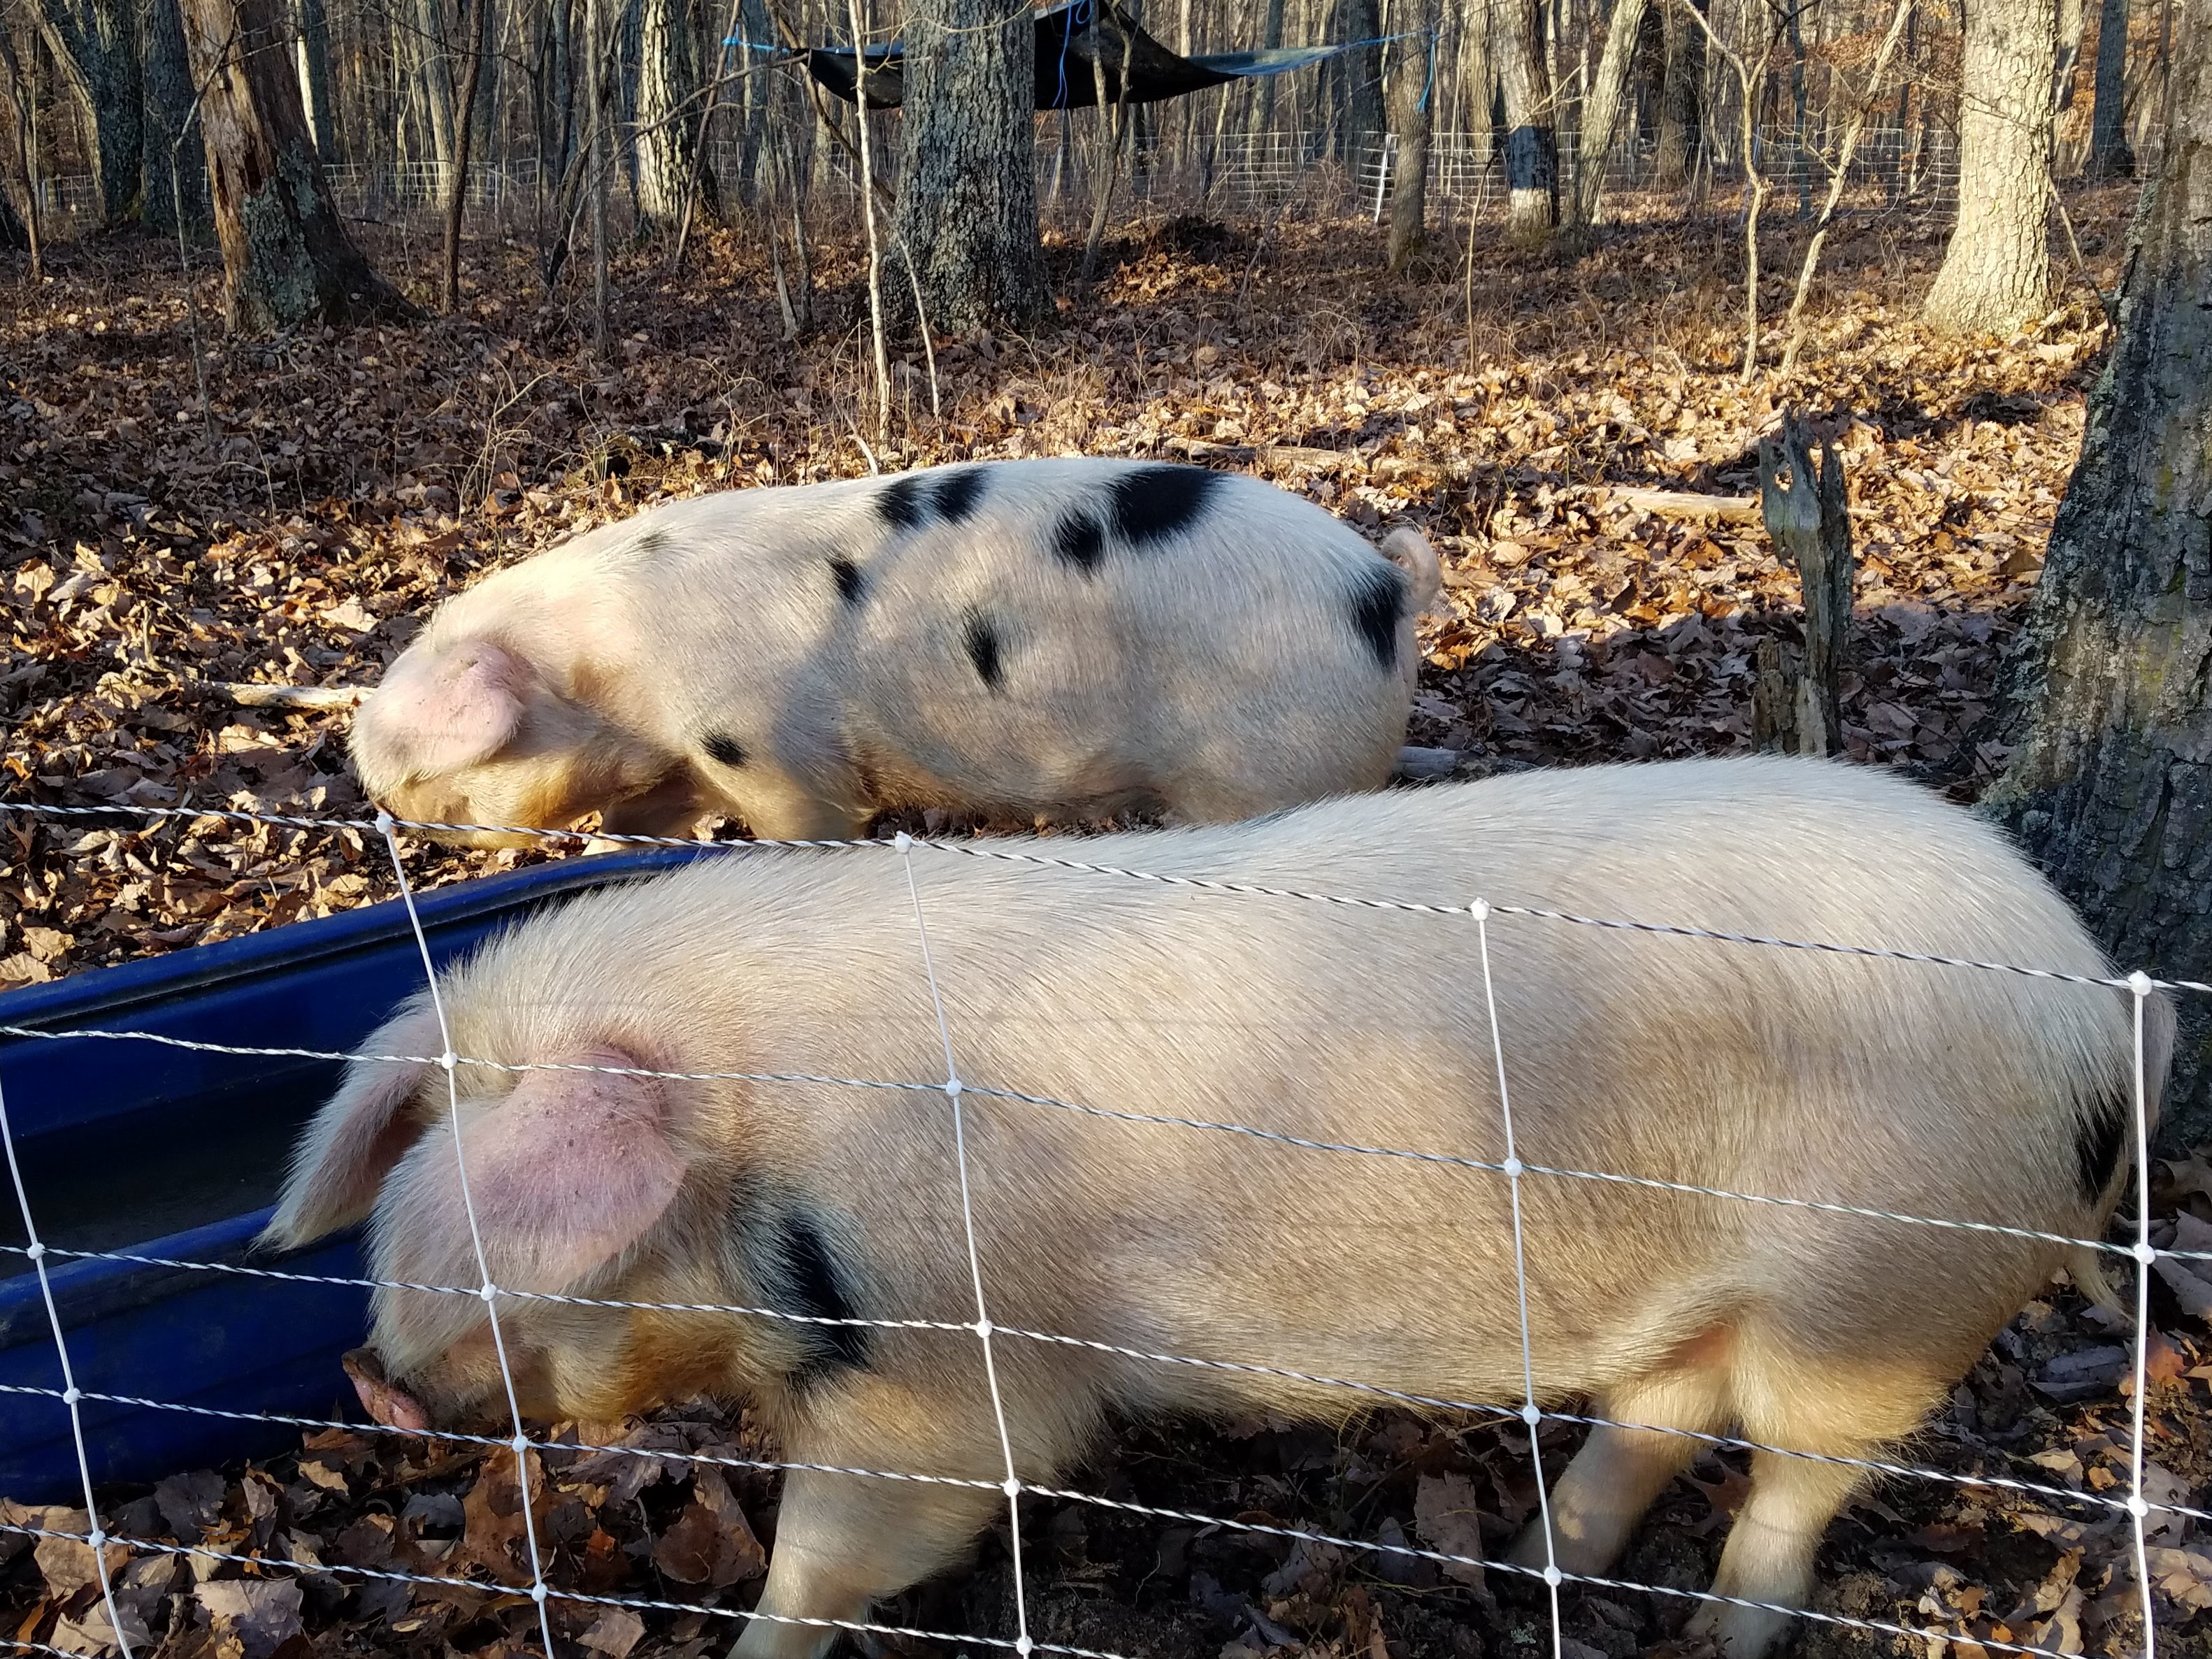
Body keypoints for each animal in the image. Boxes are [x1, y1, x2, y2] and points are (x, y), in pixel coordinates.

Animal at [263, 756, 2167, 1659]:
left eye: (510, 1253)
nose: (371, 1380)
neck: (766, 1161)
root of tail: (2092, 998)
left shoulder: (946, 1372)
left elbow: (849, 1539)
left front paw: (747, 1646)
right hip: (1721, 1287)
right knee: (1658, 1411)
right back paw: (1526, 1567)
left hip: (1888, 1289)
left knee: (1794, 1476)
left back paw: (1714, 1631)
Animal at [346, 460, 1445, 845]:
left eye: (421, 774)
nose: (389, 818)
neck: (612, 687)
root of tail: (1380, 587)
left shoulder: (768, 751)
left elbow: (807, 826)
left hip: (1271, 770)